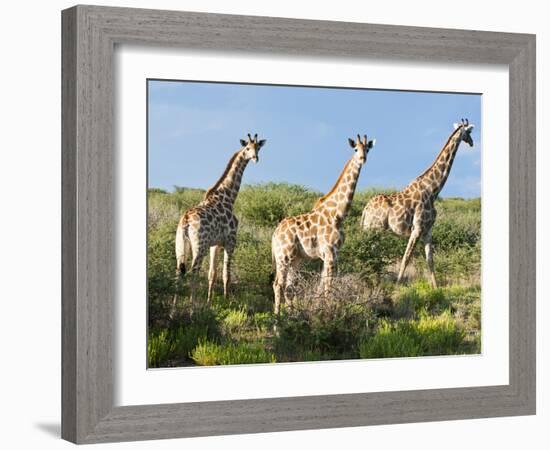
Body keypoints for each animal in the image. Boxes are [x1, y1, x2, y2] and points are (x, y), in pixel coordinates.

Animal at [172, 134, 268, 316]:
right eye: (247, 148)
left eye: (258, 147)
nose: (255, 158)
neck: (228, 197)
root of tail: (186, 220)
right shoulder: (230, 242)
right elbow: (226, 274)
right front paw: (226, 302)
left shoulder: (214, 244)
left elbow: (212, 273)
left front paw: (210, 302)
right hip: (199, 246)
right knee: (193, 272)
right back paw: (192, 309)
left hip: (181, 245)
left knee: (178, 272)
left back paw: (173, 312)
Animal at [274, 135, 378, 314]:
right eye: (355, 149)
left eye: (367, 149)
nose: (362, 158)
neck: (338, 213)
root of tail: (274, 236)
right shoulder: (330, 252)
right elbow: (328, 286)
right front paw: (327, 311)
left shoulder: (330, 254)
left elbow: (322, 285)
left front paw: (320, 309)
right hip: (283, 256)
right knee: (277, 285)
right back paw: (277, 318)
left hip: (296, 259)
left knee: (288, 288)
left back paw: (291, 315)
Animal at [362, 118, 474, 288]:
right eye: (469, 132)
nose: (472, 143)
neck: (433, 190)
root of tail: (366, 209)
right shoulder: (417, 228)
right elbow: (406, 257)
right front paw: (398, 285)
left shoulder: (428, 230)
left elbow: (430, 260)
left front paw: (436, 287)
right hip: (375, 229)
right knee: (372, 252)